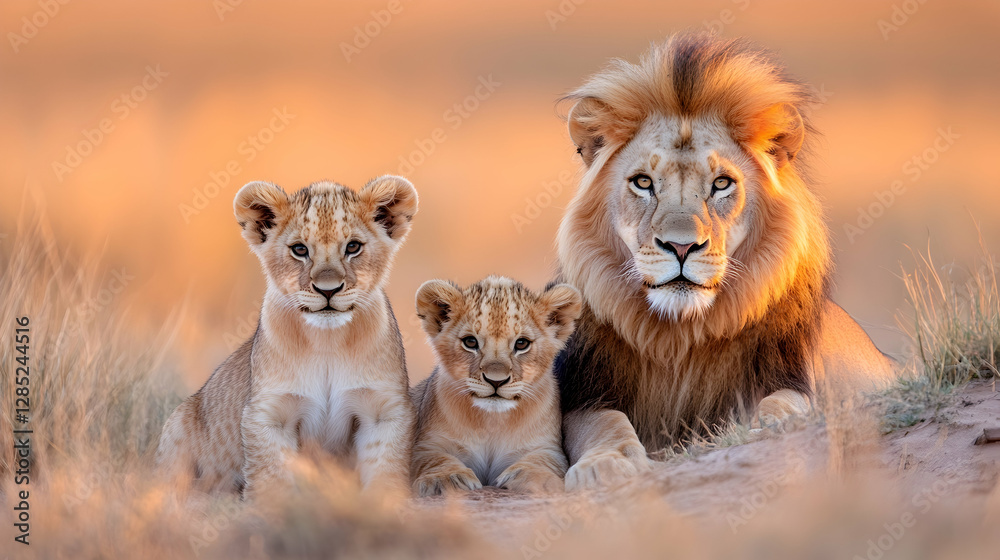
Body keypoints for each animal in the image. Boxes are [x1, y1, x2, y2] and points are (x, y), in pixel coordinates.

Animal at [156, 176, 418, 499]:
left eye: (353, 247)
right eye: (300, 249)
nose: (328, 290)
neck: (327, 341)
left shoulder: (383, 411)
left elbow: (385, 473)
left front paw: (385, 503)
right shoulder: (269, 413)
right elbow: (272, 479)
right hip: (177, 423)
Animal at [409, 277, 581, 496]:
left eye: (522, 343)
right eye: (470, 342)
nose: (496, 381)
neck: (492, 421)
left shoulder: (548, 447)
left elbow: (545, 461)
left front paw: (537, 479)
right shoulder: (426, 444)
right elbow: (432, 459)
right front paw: (446, 479)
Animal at [553, 33, 898, 490]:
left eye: (721, 184)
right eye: (643, 182)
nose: (681, 247)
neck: (680, 336)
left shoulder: (788, 376)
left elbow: (785, 403)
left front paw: (771, 428)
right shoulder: (586, 391)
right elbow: (603, 424)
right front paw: (606, 464)